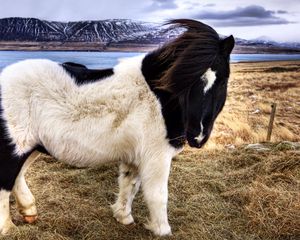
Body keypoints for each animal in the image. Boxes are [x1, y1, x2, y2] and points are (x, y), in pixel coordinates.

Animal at [0, 19, 234, 236]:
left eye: (223, 81)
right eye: (186, 80)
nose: (198, 136)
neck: (160, 99)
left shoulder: (135, 156)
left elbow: (129, 184)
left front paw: (123, 217)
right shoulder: (157, 157)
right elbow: (158, 195)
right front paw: (162, 230)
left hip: (31, 147)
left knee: (18, 176)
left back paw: (29, 211)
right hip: (14, 148)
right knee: (5, 183)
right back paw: (8, 229)